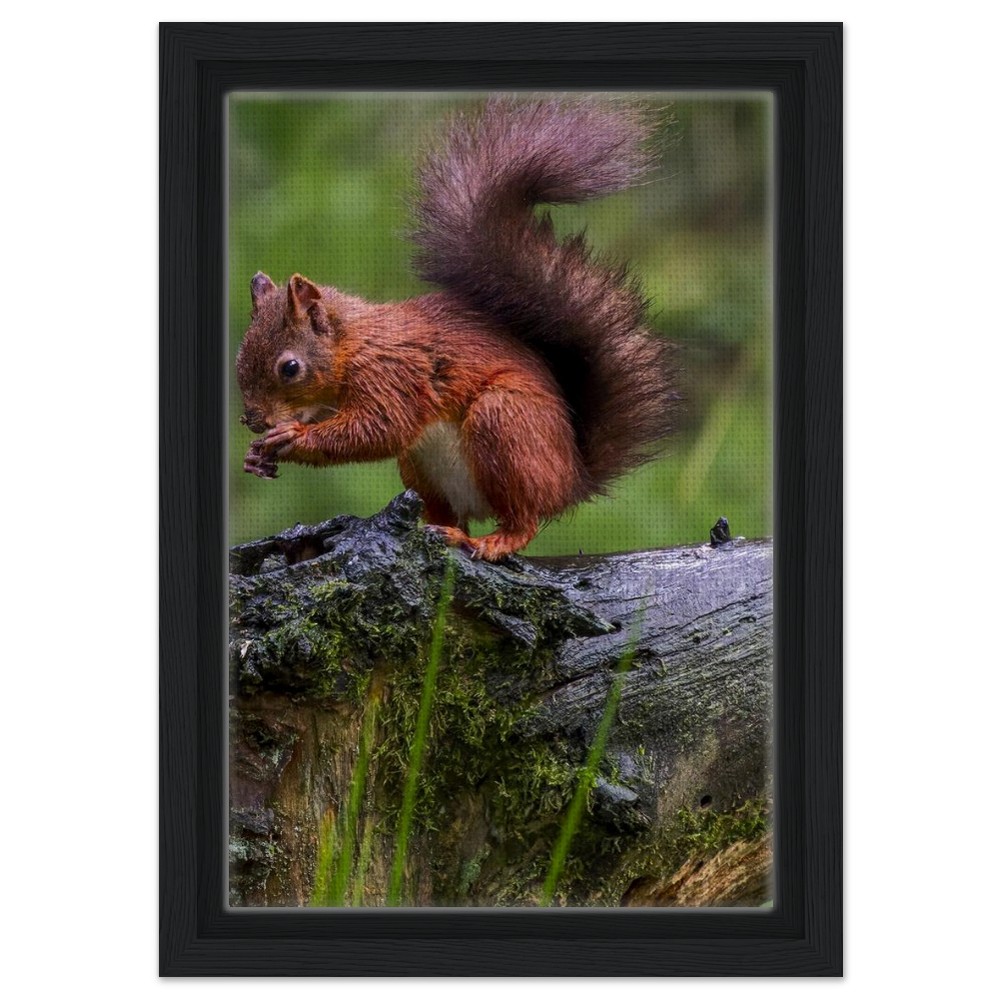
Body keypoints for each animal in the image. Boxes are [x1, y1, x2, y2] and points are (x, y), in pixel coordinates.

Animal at [237, 97, 677, 561]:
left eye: (290, 368)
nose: (252, 420)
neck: (353, 343)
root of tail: (573, 479)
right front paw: (255, 457)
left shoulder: (393, 373)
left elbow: (379, 428)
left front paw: (293, 437)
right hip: (420, 466)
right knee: (448, 511)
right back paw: (440, 528)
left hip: (507, 424)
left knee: (524, 517)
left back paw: (493, 540)